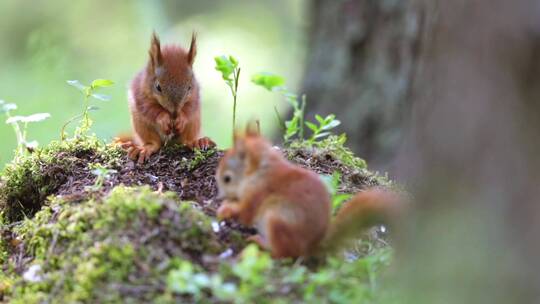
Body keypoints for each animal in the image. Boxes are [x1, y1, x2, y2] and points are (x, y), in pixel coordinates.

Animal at [121, 32, 214, 163]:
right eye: (158, 87)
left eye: (189, 87)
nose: (174, 114)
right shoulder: (139, 92)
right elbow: (149, 108)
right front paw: (163, 117)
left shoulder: (195, 94)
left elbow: (190, 107)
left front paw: (181, 118)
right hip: (141, 125)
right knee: (153, 142)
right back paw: (144, 148)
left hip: (194, 123)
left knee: (187, 140)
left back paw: (198, 141)